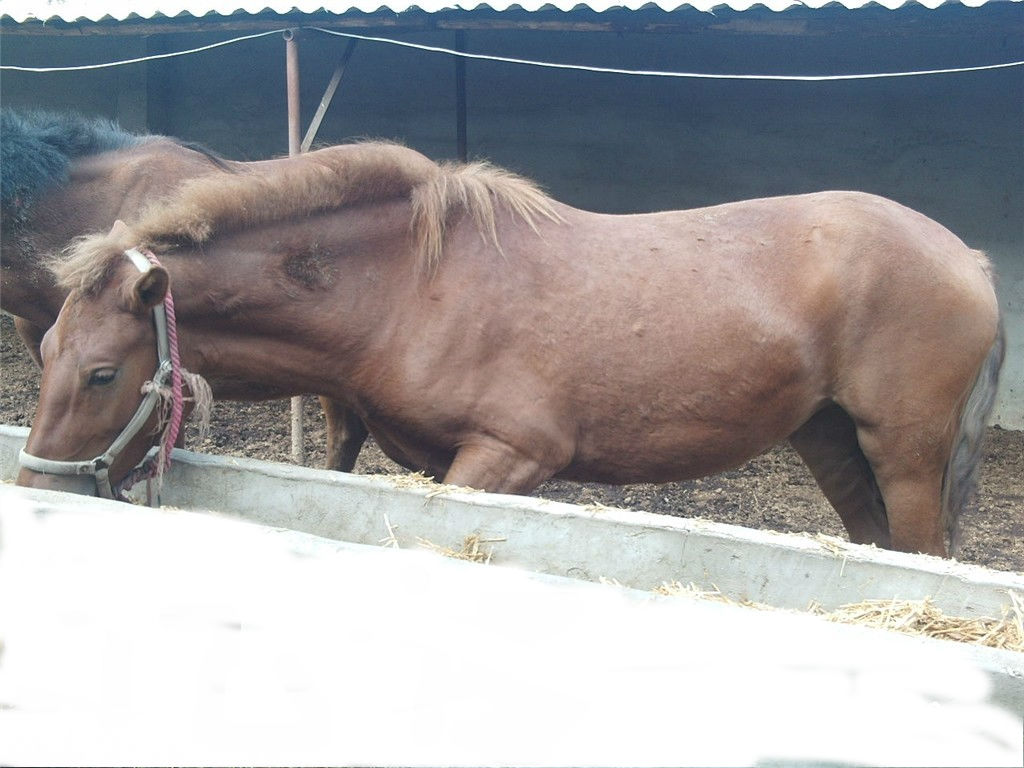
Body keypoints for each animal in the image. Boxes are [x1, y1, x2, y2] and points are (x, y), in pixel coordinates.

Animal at [16, 140, 1005, 556]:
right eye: (46, 352)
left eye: (102, 373)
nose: (35, 496)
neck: (408, 287)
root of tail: (968, 257)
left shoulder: (509, 458)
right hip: (829, 438)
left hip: (903, 453)